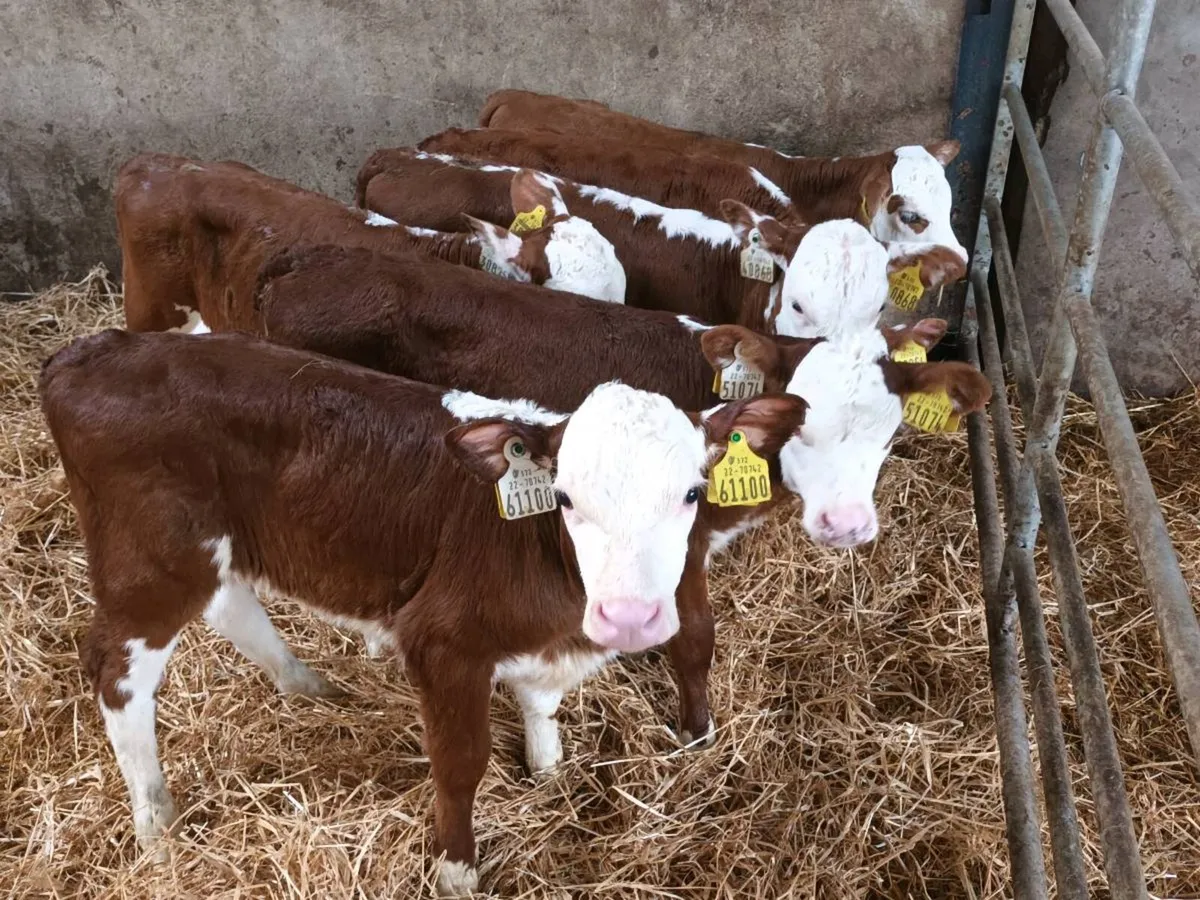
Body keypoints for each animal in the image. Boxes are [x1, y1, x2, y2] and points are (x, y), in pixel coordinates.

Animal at [41, 327, 807, 896]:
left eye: (692, 492)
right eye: (563, 498)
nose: (629, 617)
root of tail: (93, 349)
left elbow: (542, 701)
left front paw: (548, 769)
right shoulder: (443, 643)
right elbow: (460, 764)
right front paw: (458, 870)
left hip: (213, 549)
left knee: (230, 606)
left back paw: (310, 687)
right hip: (152, 561)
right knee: (118, 674)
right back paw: (155, 823)